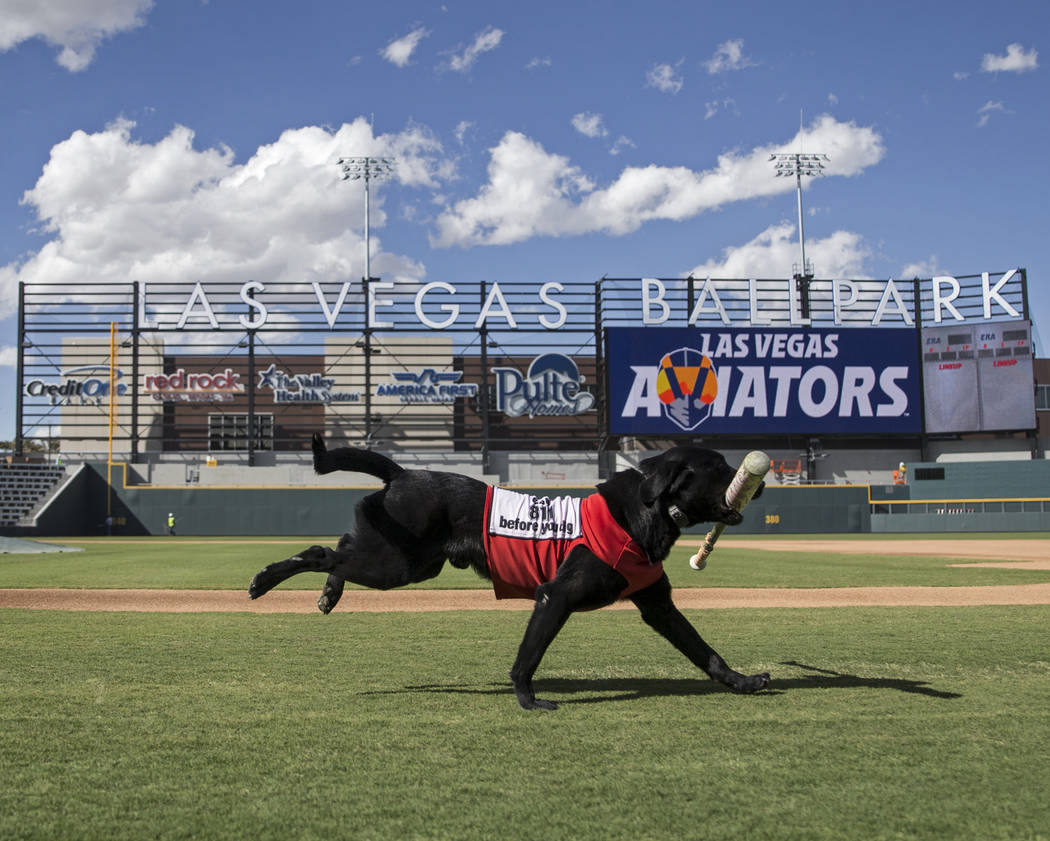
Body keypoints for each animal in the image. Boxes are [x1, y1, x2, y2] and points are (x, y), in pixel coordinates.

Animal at [248, 432, 768, 709]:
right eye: (720, 469)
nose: (760, 482)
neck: (640, 514)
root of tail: (402, 473)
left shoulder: (658, 605)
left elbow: (705, 651)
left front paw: (743, 682)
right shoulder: (555, 598)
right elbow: (528, 658)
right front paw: (528, 701)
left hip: (405, 564)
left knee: (336, 547)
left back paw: (329, 594)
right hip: (396, 564)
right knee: (320, 552)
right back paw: (264, 581)